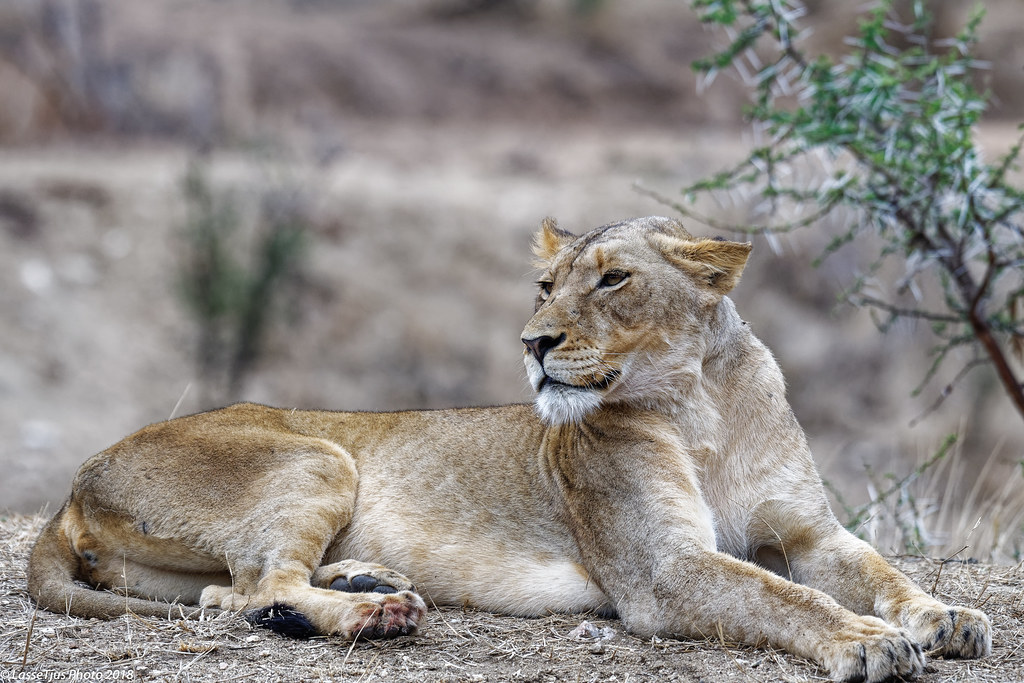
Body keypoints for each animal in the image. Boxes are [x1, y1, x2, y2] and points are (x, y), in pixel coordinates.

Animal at [28, 216, 990, 681]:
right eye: (545, 283)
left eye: (613, 278)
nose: (533, 342)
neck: (701, 404)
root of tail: (72, 486)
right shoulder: (663, 569)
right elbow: (785, 597)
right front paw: (864, 642)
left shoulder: (809, 533)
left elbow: (879, 570)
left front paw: (946, 617)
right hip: (319, 455)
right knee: (250, 592)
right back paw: (375, 614)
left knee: (228, 590)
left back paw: (365, 579)